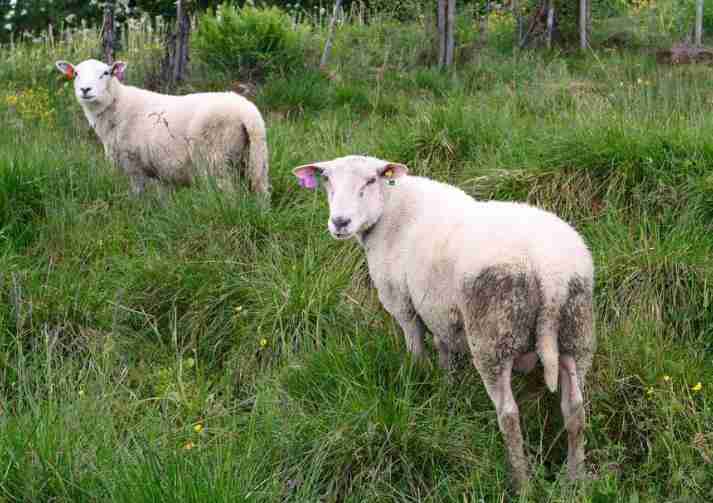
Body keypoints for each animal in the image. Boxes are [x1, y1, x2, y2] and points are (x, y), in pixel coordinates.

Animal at [55, 59, 270, 199]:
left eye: (105, 73)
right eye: (76, 74)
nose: (85, 90)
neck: (117, 104)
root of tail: (247, 113)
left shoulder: (134, 165)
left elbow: (137, 196)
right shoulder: (160, 172)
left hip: (215, 159)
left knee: (227, 194)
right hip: (254, 159)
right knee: (262, 192)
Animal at [292, 155, 592, 492]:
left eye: (370, 180)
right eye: (327, 180)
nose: (340, 222)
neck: (391, 209)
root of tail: (549, 271)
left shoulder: (403, 304)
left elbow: (417, 352)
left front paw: (419, 386)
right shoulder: (440, 311)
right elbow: (444, 350)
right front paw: (448, 392)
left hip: (492, 336)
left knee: (508, 415)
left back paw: (521, 482)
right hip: (576, 332)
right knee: (575, 410)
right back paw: (576, 479)